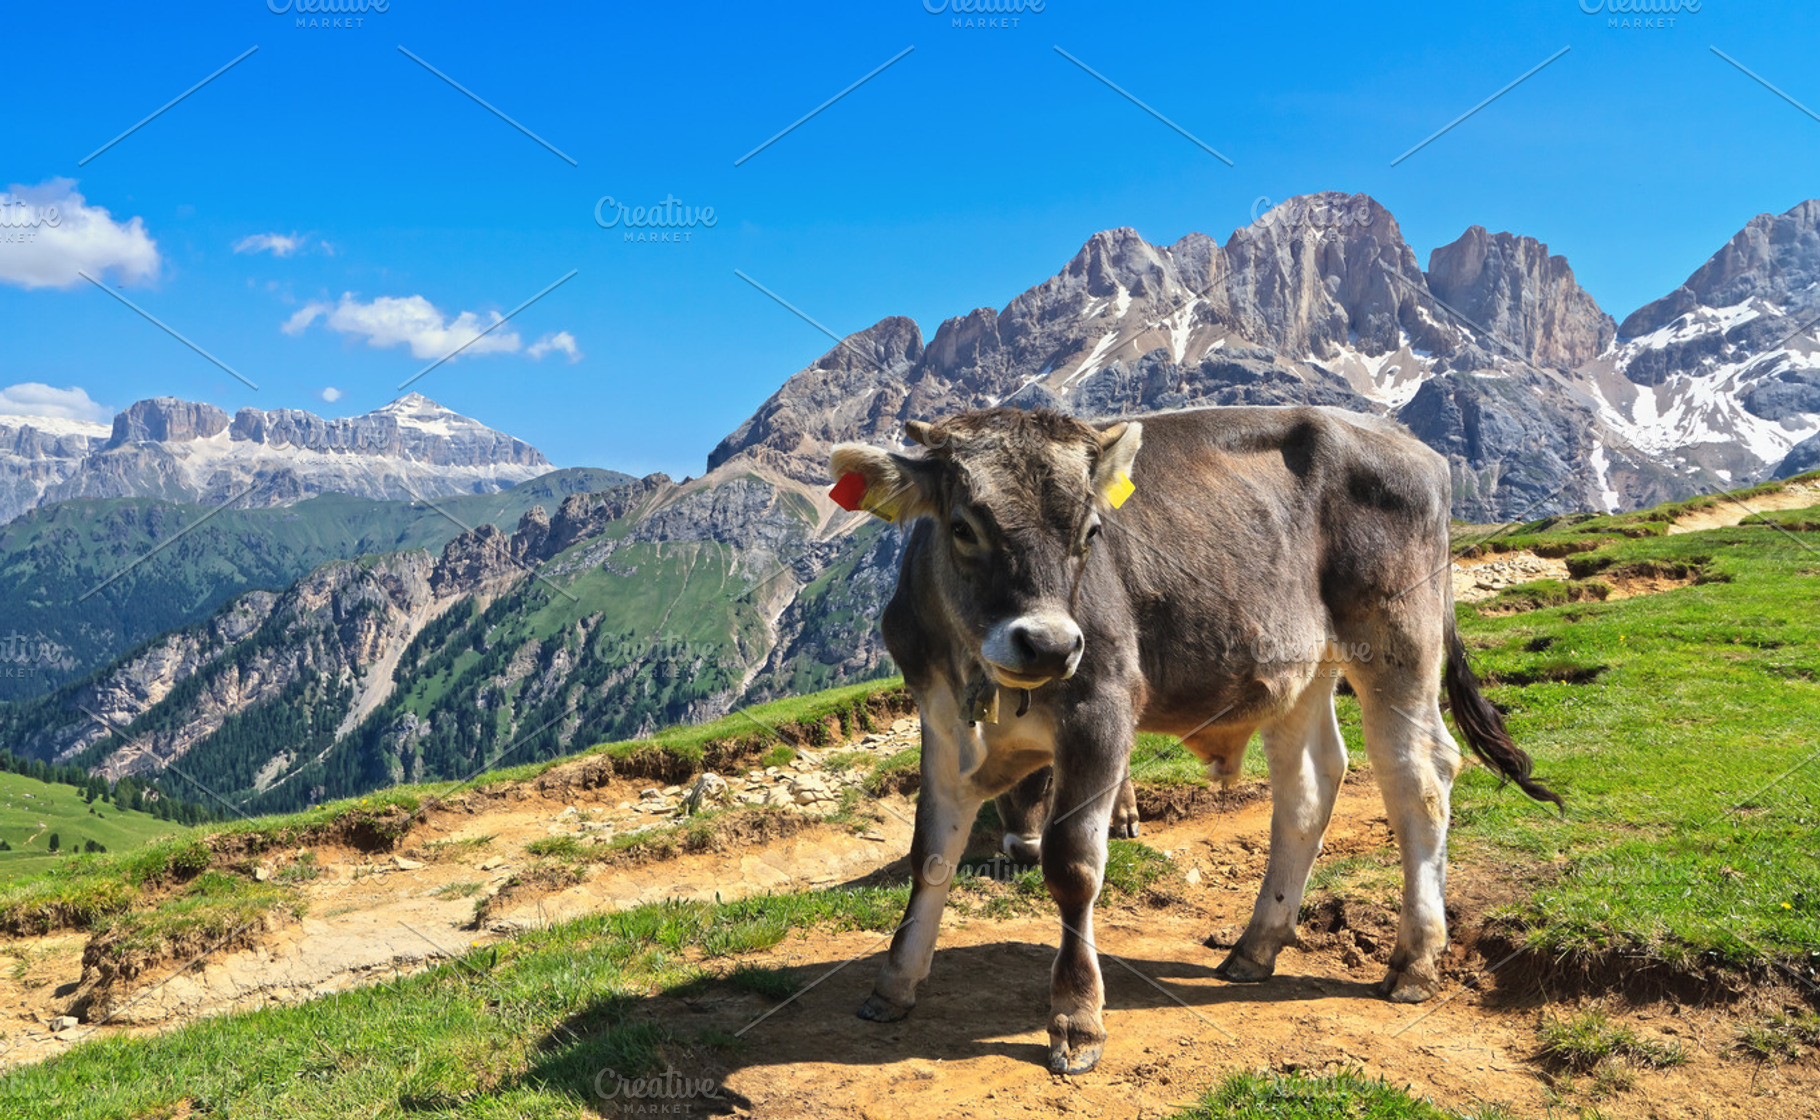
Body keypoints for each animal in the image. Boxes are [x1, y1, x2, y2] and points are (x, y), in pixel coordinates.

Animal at [828, 405, 1559, 1075]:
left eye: (1091, 531)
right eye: (962, 527)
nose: (1050, 644)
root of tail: (1403, 441)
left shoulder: (1102, 706)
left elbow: (1073, 865)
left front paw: (1077, 1018)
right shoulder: (939, 716)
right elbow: (930, 854)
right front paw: (894, 984)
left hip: (1397, 636)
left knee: (1420, 776)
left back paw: (1414, 961)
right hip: (1302, 665)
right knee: (1311, 786)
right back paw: (1256, 946)